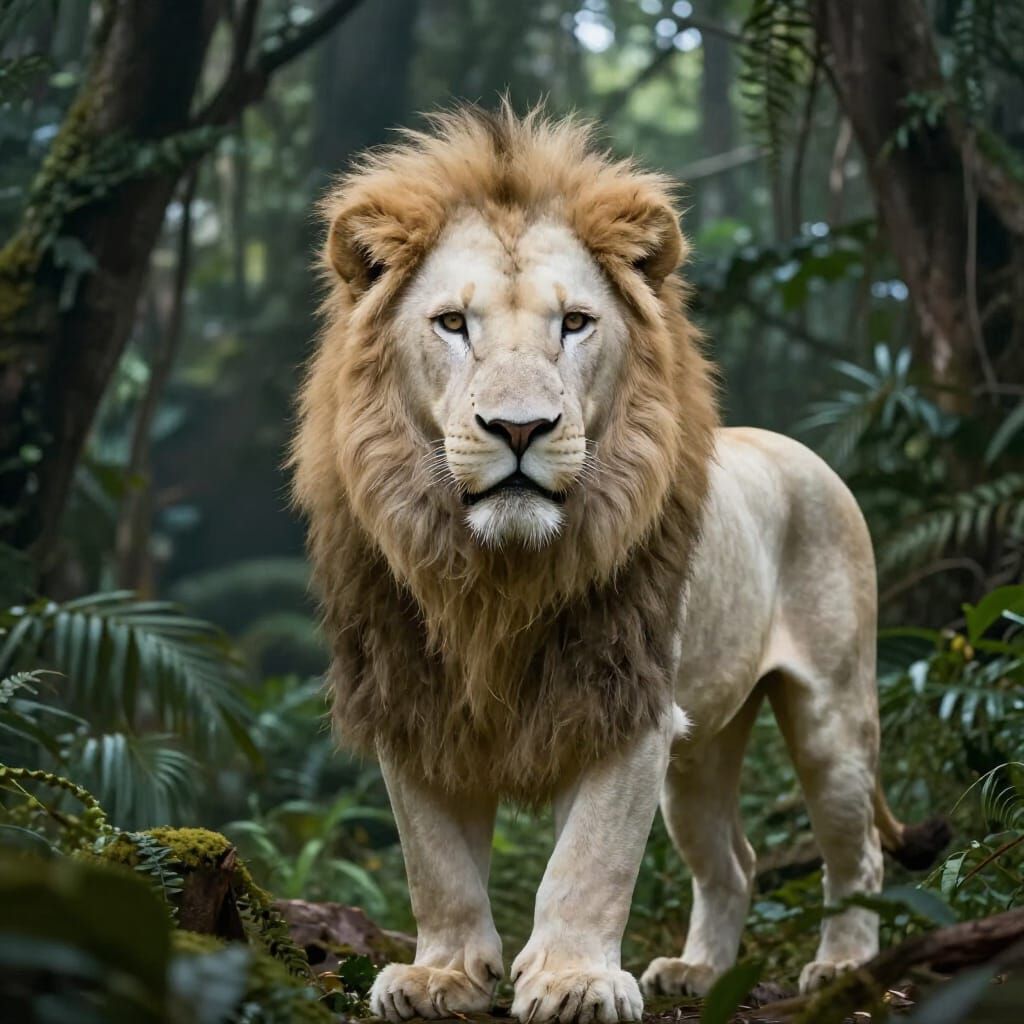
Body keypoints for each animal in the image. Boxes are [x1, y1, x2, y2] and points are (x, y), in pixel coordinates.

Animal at [292, 105, 949, 1023]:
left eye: (574, 323)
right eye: (453, 324)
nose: (520, 428)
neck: (496, 573)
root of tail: (799, 450)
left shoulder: (622, 696)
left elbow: (589, 860)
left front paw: (572, 980)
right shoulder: (408, 694)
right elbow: (435, 862)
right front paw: (443, 976)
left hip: (832, 713)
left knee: (856, 851)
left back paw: (843, 967)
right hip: (702, 747)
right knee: (735, 859)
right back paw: (699, 971)